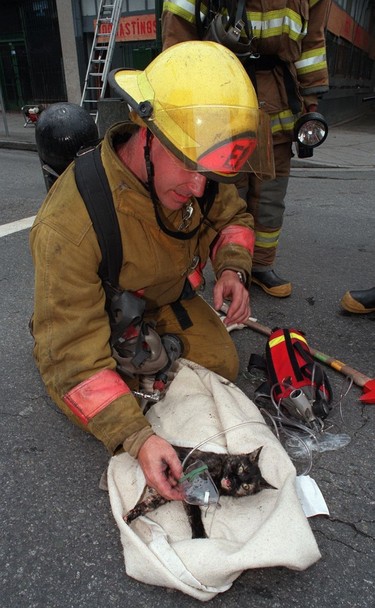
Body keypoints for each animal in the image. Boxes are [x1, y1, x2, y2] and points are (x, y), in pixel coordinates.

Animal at [124, 444, 276, 540]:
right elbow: (195, 514)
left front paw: (130, 516)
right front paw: (199, 536)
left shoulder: (167, 492)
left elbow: (148, 504)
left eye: (246, 486)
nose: (233, 481)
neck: (218, 480)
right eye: (241, 468)